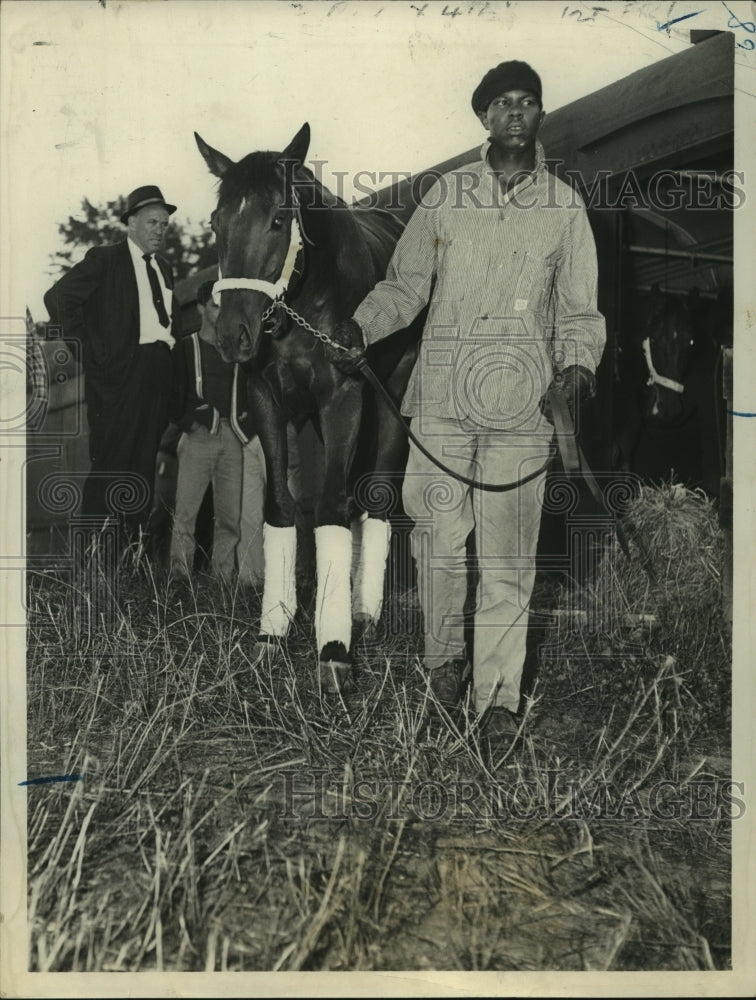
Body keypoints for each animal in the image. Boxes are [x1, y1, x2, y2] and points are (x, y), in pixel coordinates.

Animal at [195, 123, 420, 688]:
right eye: (215, 222)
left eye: (278, 219)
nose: (232, 336)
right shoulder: (267, 400)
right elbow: (281, 507)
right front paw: (272, 633)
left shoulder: (343, 396)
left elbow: (331, 507)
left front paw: (333, 648)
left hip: (390, 401)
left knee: (376, 496)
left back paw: (363, 610)